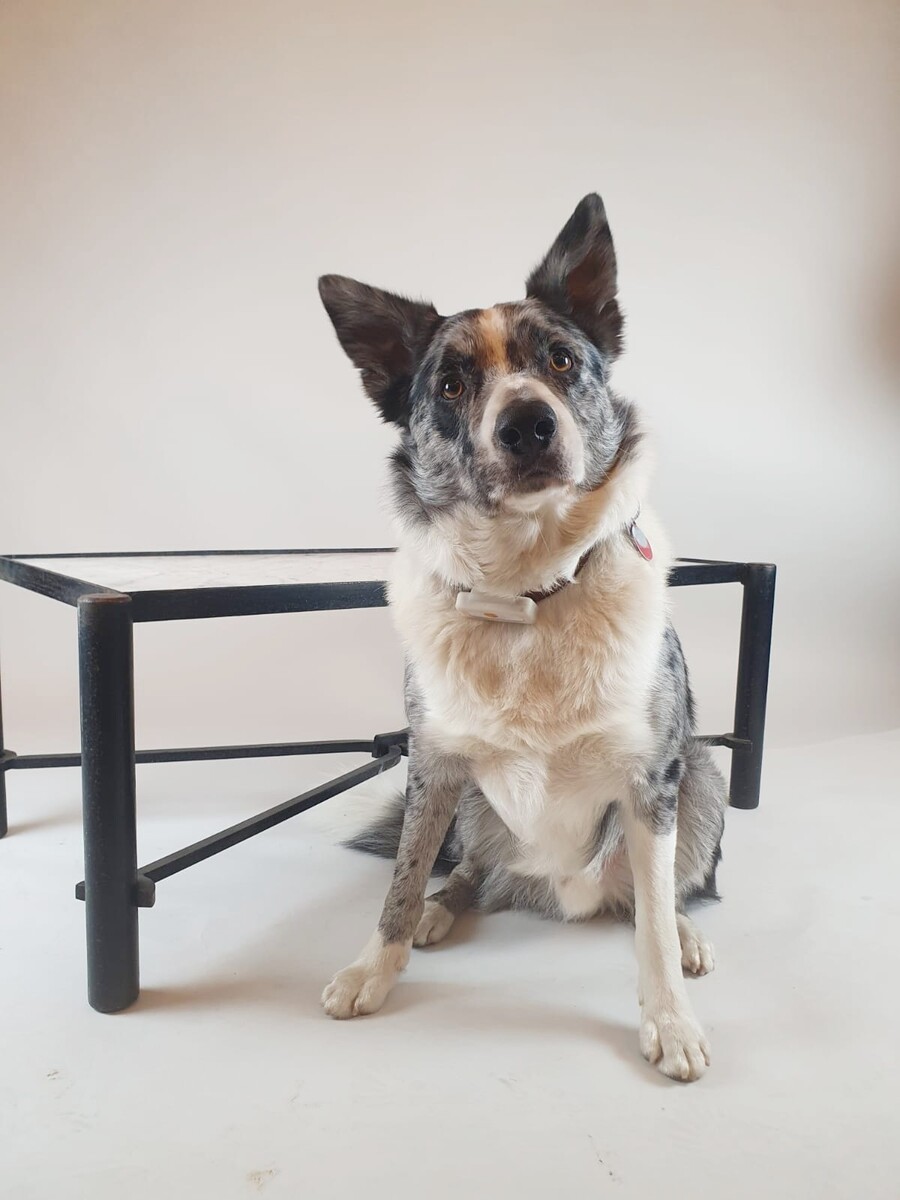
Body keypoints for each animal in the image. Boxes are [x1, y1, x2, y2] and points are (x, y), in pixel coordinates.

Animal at [314, 194, 724, 1080]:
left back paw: (685, 931)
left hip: (701, 775)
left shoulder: (651, 778)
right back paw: (446, 907)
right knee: (468, 867)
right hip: (472, 801)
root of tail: (546, 893)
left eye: (562, 361)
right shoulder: (432, 762)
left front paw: (670, 1018)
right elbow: (399, 880)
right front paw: (374, 967)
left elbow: (650, 930)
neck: (527, 593)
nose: (528, 425)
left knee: (662, 894)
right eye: (452, 382)